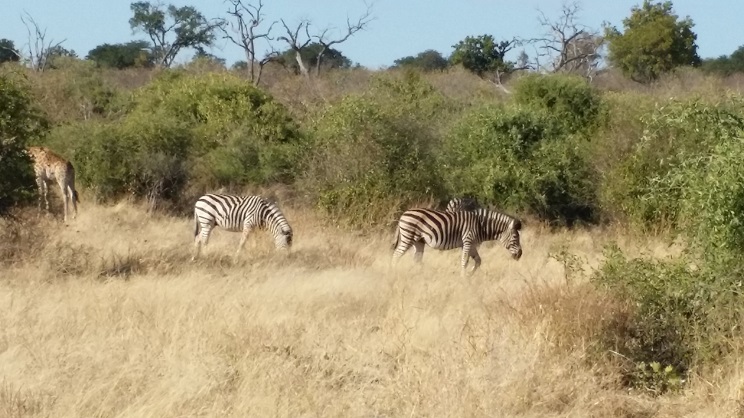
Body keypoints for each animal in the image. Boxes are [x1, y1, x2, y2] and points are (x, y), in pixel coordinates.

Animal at [390, 207, 524, 276]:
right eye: (515, 237)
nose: (520, 255)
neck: (480, 225)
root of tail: (403, 214)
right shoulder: (467, 241)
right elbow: (465, 261)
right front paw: (463, 278)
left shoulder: (472, 244)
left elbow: (478, 261)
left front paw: (469, 275)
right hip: (408, 236)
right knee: (396, 255)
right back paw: (393, 274)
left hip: (419, 241)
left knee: (416, 259)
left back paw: (419, 276)